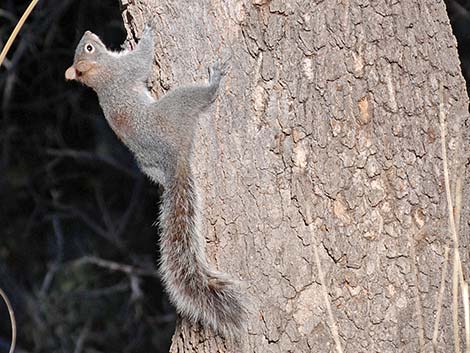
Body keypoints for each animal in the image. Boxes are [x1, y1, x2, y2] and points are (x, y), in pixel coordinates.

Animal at [64, 25, 248, 338]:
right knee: (199, 96)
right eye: (89, 48)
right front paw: (147, 33)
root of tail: (173, 159)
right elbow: (142, 60)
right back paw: (213, 82)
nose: (88, 32)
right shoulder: (125, 70)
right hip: (178, 105)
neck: (101, 74)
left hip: (150, 166)